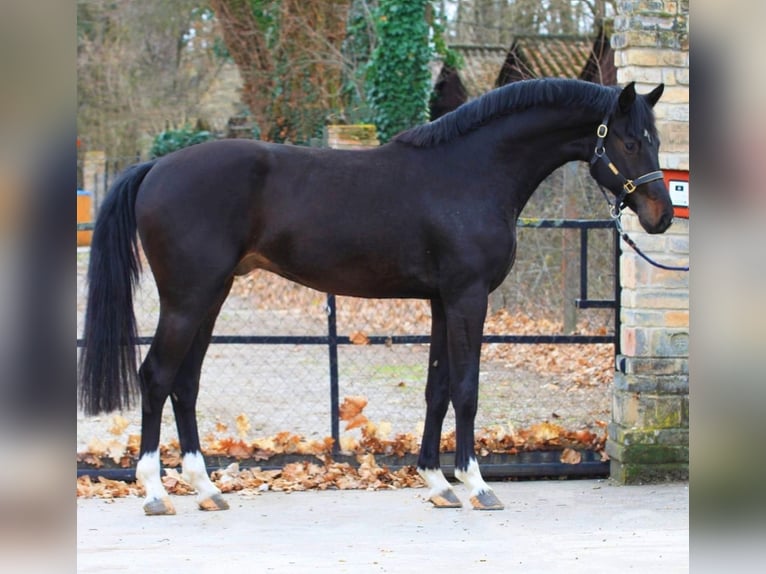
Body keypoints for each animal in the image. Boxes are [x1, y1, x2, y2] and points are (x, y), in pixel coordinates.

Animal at [81, 79, 676, 516]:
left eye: (654, 139)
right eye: (629, 141)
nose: (662, 216)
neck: (472, 172)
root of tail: (155, 167)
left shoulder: (442, 301)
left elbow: (437, 388)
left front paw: (439, 484)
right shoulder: (467, 297)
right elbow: (466, 389)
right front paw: (478, 484)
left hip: (211, 296)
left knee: (185, 384)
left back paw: (206, 490)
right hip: (188, 298)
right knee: (156, 377)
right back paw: (155, 493)